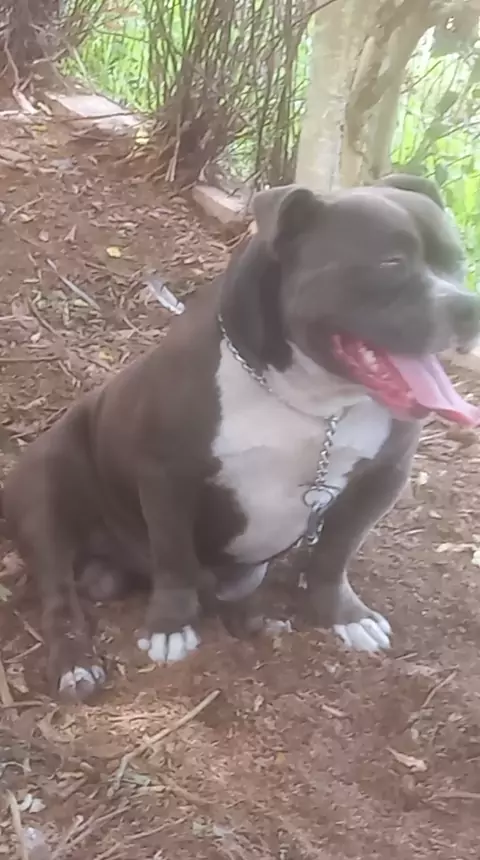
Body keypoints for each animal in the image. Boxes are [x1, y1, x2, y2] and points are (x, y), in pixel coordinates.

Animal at [2, 173, 479, 702]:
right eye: (390, 263)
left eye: (458, 262)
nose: (470, 306)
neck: (311, 400)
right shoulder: (167, 475)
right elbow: (173, 555)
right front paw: (170, 625)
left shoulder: (382, 476)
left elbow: (335, 553)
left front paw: (343, 614)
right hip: (45, 496)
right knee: (60, 593)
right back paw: (76, 662)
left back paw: (254, 620)